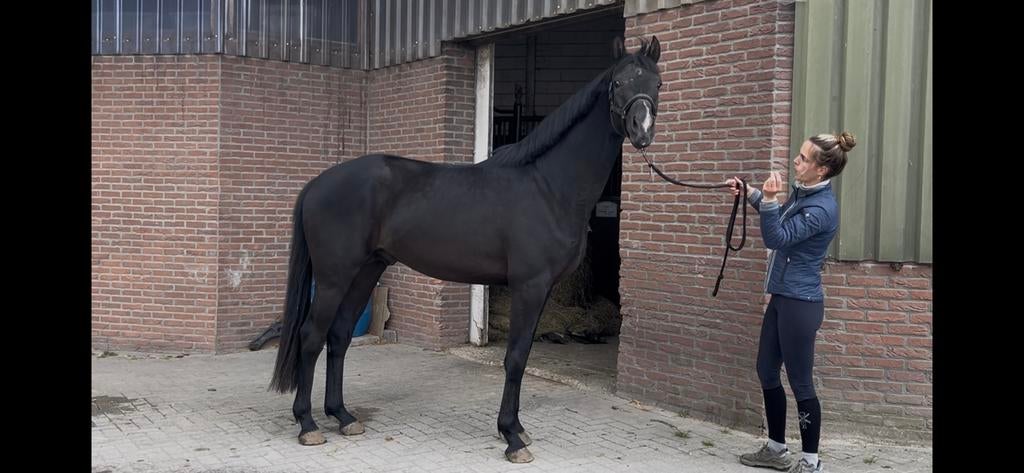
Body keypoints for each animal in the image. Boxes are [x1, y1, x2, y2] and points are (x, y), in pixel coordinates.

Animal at [270, 35, 663, 463]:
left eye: (657, 84)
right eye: (618, 83)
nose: (642, 131)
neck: (548, 186)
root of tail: (315, 185)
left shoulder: (542, 291)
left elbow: (524, 354)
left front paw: (518, 430)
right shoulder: (529, 286)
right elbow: (515, 357)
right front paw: (510, 437)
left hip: (366, 271)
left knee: (339, 335)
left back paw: (342, 416)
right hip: (333, 277)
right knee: (311, 336)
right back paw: (307, 424)